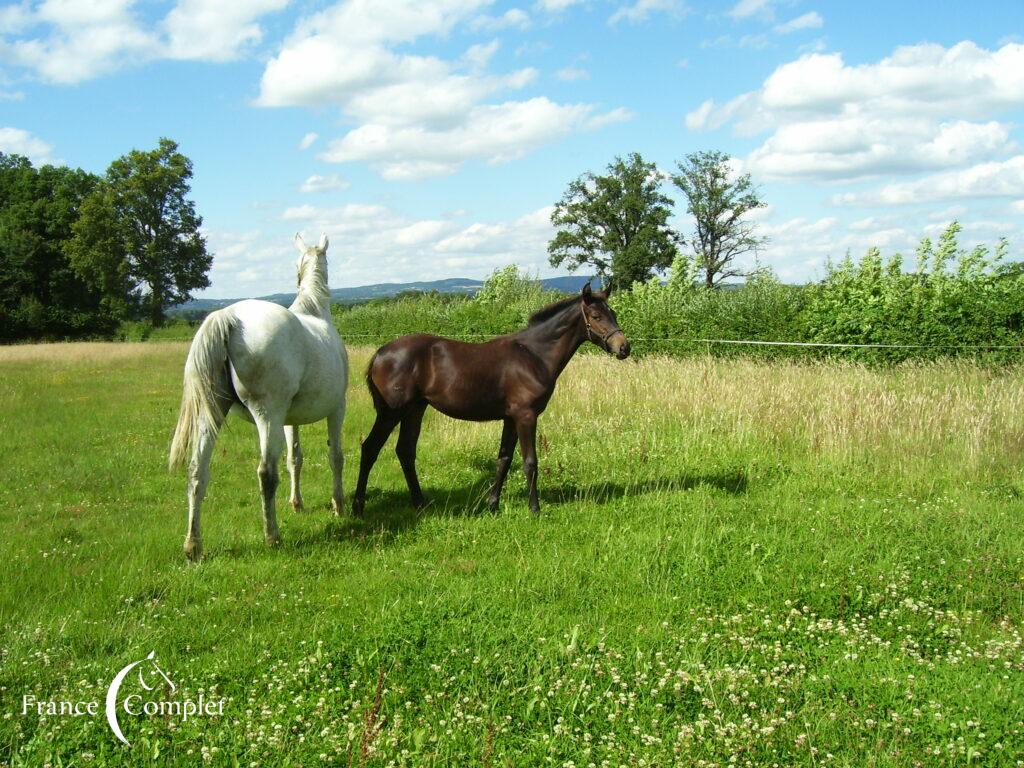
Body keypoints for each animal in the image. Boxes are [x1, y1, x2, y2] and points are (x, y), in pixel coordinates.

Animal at [169, 231, 350, 561]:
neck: (314, 309)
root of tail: (228, 317)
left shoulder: (290, 420)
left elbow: (295, 459)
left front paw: (297, 504)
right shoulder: (337, 408)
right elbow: (335, 457)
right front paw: (339, 506)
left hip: (214, 414)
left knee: (197, 470)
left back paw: (193, 546)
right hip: (267, 415)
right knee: (266, 473)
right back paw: (272, 537)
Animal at [352, 284, 626, 518]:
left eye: (612, 313)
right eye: (596, 316)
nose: (624, 348)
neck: (533, 355)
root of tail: (380, 352)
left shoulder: (510, 418)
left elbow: (504, 459)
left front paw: (493, 505)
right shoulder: (526, 416)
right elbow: (530, 462)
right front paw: (535, 510)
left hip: (414, 410)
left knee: (405, 452)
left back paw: (420, 503)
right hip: (390, 413)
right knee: (370, 449)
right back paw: (358, 508)